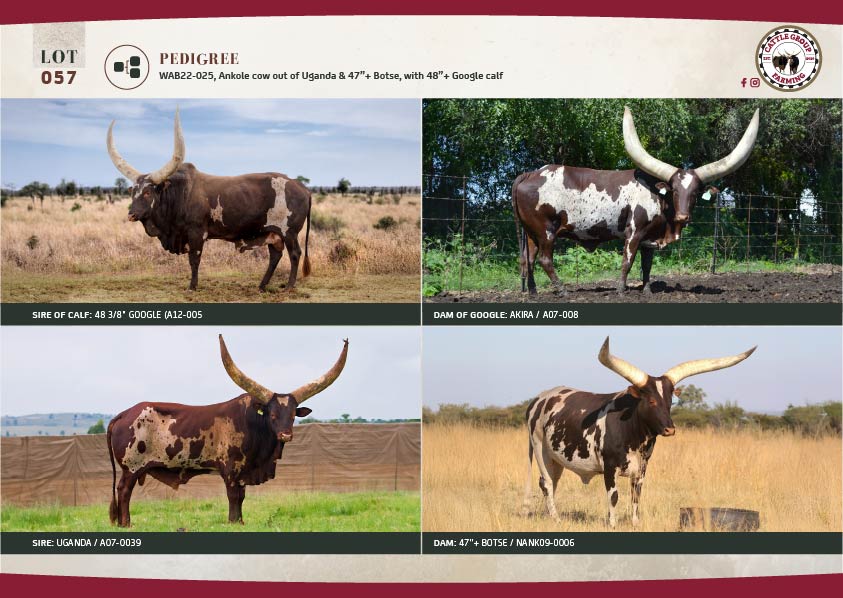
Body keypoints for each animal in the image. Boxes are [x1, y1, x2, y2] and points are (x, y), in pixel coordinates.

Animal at [106, 335, 348, 527]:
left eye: (292, 416)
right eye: (272, 415)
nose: (286, 435)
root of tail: (123, 414)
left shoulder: (243, 472)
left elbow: (241, 497)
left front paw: (240, 521)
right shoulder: (231, 470)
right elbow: (233, 496)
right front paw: (233, 522)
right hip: (131, 467)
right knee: (124, 490)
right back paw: (126, 524)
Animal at [107, 109, 312, 292]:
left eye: (148, 193)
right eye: (133, 191)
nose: (131, 214)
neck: (179, 195)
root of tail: (302, 188)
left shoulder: (197, 233)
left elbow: (194, 260)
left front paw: (192, 287)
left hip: (289, 232)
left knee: (295, 254)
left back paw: (289, 287)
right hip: (272, 234)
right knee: (275, 256)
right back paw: (262, 286)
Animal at [512, 107, 760, 295]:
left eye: (696, 192)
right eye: (674, 190)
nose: (683, 216)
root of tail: (530, 174)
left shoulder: (650, 238)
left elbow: (646, 265)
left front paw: (647, 290)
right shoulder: (634, 233)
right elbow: (627, 261)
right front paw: (621, 290)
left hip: (532, 233)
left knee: (529, 259)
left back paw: (533, 292)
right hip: (546, 231)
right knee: (545, 259)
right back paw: (562, 290)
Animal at [522, 337, 755, 528]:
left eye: (670, 401)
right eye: (650, 400)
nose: (670, 429)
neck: (634, 436)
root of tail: (540, 398)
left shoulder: (642, 468)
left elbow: (636, 496)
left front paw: (635, 523)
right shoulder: (610, 467)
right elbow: (614, 496)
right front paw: (612, 524)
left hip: (556, 459)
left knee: (552, 482)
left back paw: (550, 514)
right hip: (540, 449)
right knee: (547, 483)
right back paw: (556, 518)